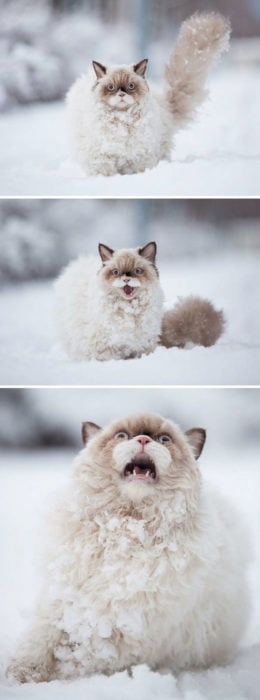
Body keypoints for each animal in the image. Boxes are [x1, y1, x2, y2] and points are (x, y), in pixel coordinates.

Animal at [7, 412, 249, 680]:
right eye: (122, 435)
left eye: (164, 439)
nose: (143, 439)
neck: (126, 529)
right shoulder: (61, 601)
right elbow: (40, 641)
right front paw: (23, 674)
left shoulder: (129, 626)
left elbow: (83, 656)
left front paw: (58, 674)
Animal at [66, 11, 230, 176]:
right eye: (111, 87)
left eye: (131, 86)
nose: (121, 94)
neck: (123, 119)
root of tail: (165, 106)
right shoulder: (101, 157)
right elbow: (105, 171)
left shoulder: (141, 156)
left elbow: (141, 169)